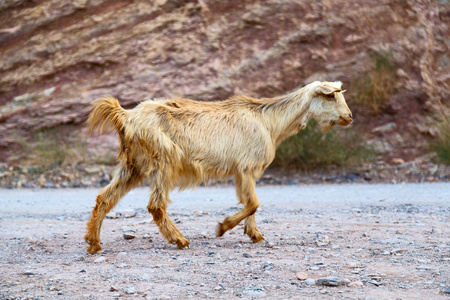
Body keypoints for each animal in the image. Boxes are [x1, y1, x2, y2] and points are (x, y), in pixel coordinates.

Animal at [83, 80, 352, 253]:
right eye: (330, 95)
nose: (349, 117)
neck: (269, 121)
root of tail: (125, 116)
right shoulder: (246, 166)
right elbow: (253, 203)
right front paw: (222, 228)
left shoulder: (244, 172)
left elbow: (250, 203)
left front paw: (255, 235)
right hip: (163, 161)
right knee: (155, 205)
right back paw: (180, 240)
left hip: (132, 165)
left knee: (104, 198)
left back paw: (93, 243)